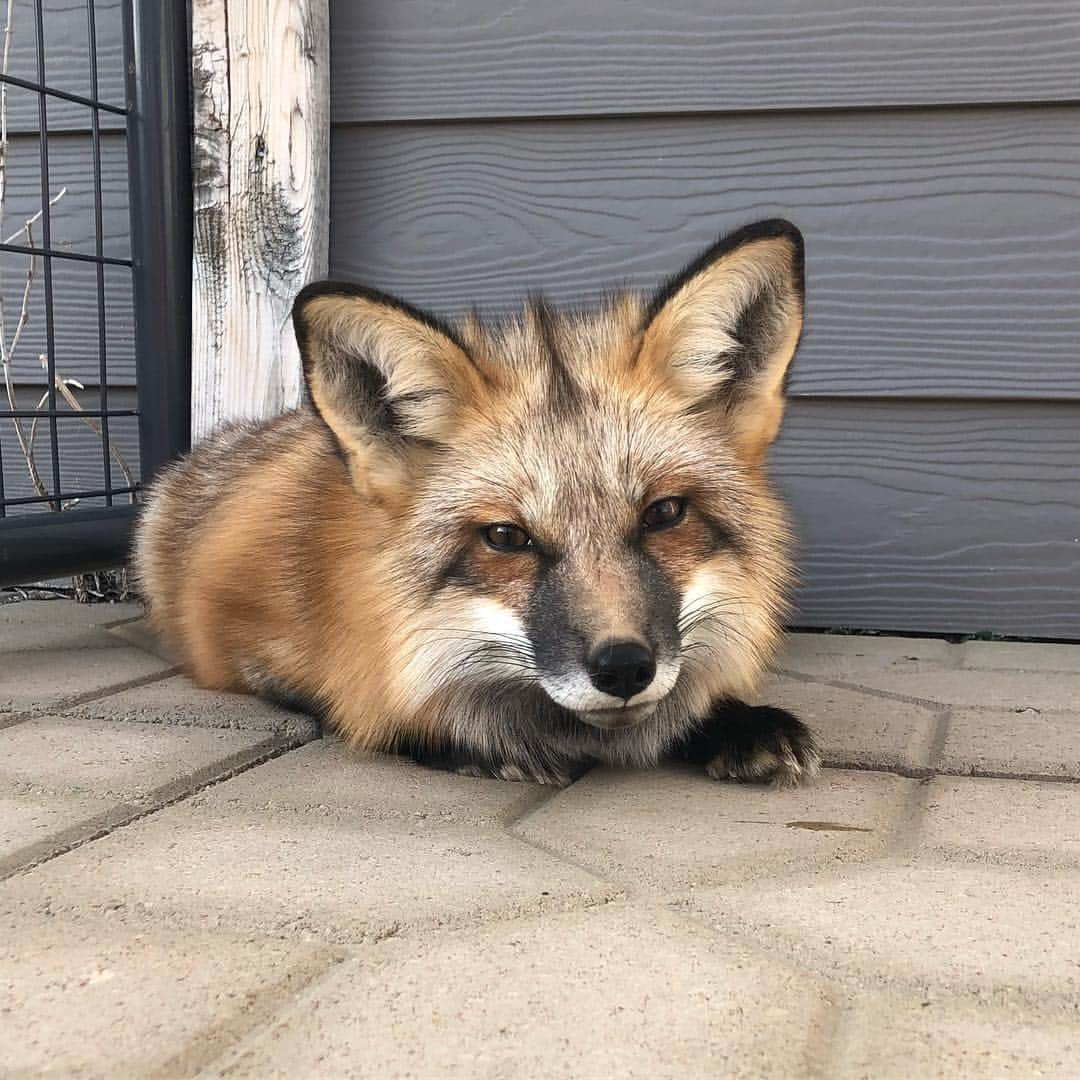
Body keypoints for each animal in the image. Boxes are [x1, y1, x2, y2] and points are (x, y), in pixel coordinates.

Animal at [139, 217, 820, 786]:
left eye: (664, 514)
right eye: (506, 537)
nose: (624, 668)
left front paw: (733, 720)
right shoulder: (248, 650)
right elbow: (375, 708)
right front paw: (481, 742)